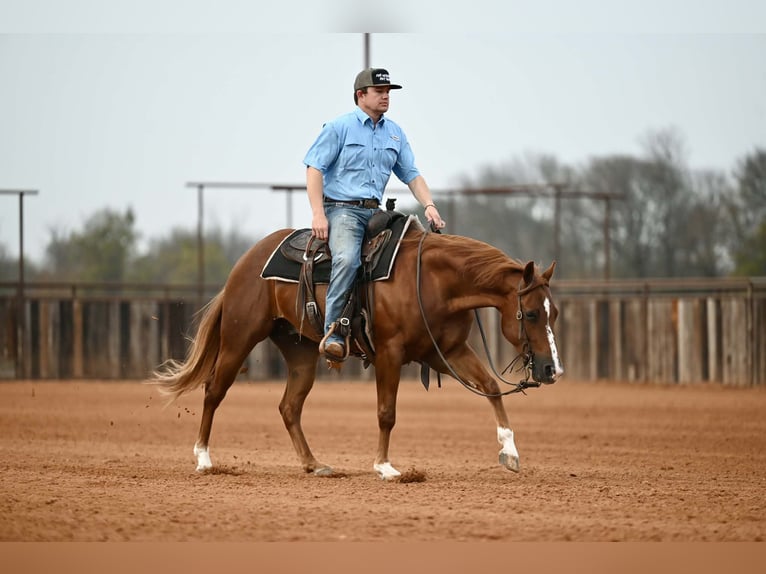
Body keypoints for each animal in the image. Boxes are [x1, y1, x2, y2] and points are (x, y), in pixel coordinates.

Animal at [150, 220, 563, 480]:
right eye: (529, 313)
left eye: (554, 312)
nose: (551, 370)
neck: (433, 280)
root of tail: (247, 260)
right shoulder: (391, 354)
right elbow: (386, 413)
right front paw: (385, 467)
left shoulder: (445, 352)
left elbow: (490, 388)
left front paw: (510, 452)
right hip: (239, 338)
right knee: (213, 391)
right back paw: (204, 459)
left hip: (300, 352)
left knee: (289, 407)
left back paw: (314, 464)